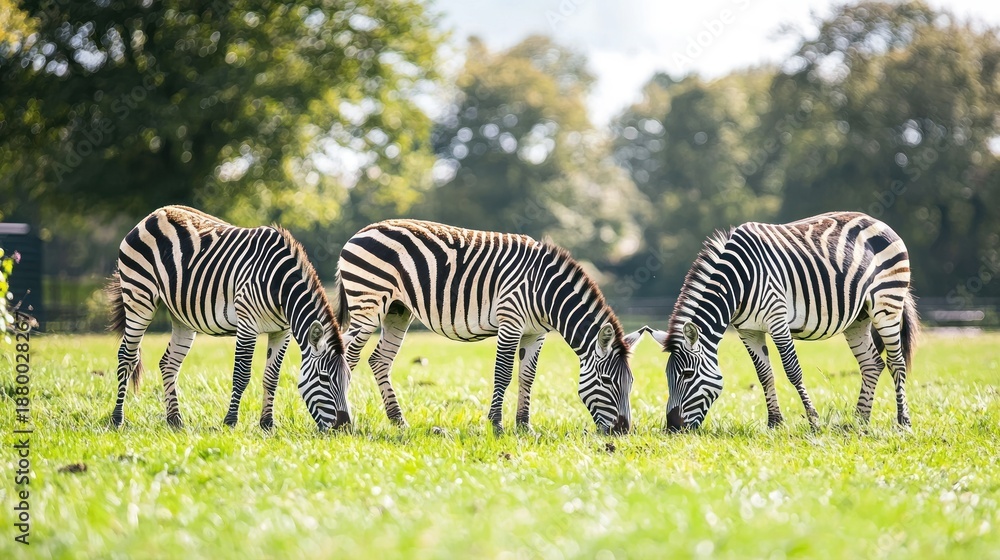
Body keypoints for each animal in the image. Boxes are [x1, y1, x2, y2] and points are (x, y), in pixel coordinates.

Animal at [107, 205, 351, 431]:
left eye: (348, 379)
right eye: (324, 378)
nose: (344, 427)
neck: (281, 286)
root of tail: (154, 214)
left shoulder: (282, 331)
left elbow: (272, 377)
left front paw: (267, 423)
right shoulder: (247, 324)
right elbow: (242, 374)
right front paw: (231, 421)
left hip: (181, 316)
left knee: (168, 363)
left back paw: (175, 420)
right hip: (139, 298)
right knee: (127, 357)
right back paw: (117, 419)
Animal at [332, 219, 645, 434]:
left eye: (630, 383)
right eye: (607, 381)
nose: (622, 432)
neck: (545, 292)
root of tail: (361, 231)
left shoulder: (536, 334)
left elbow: (527, 377)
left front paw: (524, 427)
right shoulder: (510, 322)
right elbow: (503, 374)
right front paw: (496, 425)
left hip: (398, 311)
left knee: (379, 360)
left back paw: (398, 421)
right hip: (368, 305)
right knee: (348, 357)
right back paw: (344, 421)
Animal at [646, 211, 918, 431]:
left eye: (687, 374)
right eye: (668, 375)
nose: (672, 428)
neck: (739, 282)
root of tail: (879, 222)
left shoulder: (777, 321)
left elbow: (792, 371)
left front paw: (814, 421)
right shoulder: (748, 331)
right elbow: (764, 374)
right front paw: (775, 423)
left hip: (887, 305)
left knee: (896, 363)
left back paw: (903, 422)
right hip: (858, 320)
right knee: (872, 364)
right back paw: (859, 421)